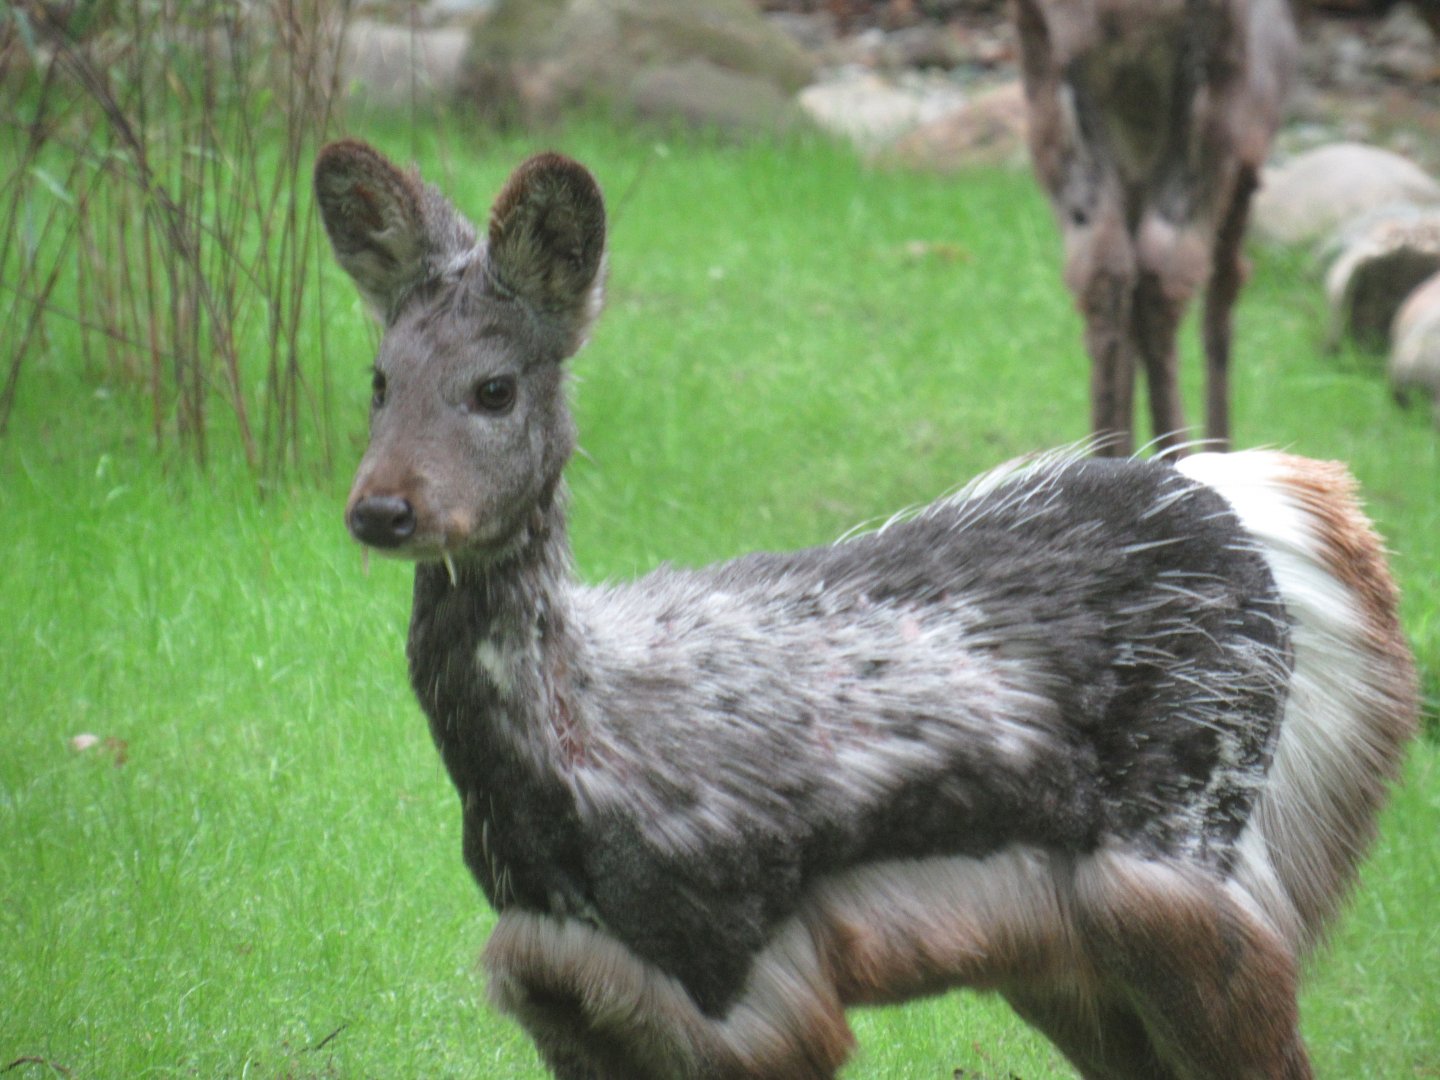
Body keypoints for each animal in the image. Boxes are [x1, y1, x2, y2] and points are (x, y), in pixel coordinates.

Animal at [315, 138, 1417, 1080]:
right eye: (378, 379)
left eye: (495, 387)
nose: (382, 509)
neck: (569, 758)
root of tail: (1266, 510)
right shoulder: (568, 984)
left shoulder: (746, 977)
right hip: (1079, 955)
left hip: (1184, 869)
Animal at [1013, 0, 1299, 456]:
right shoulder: (1250, 154)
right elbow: (1223, 295)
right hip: (1217, 106)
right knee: (1167, 273)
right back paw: (1180, 455)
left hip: (1049, 93)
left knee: (1105, 271)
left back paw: (1112, 454)